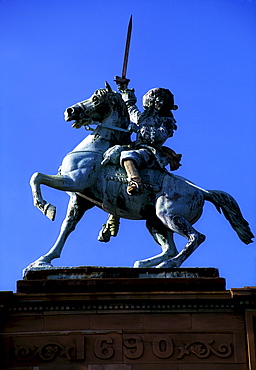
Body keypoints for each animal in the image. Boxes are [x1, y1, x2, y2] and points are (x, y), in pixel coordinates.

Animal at [26, 84, 254, 274]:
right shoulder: (79, 198)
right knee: (170, 248)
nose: (70, 111)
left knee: (196, 238)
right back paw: (144, 264)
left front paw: (45, 207)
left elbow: (36, 177)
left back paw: (167, 266)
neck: (97, 147)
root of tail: (202, 191)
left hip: (169, 215)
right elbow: (66, 227)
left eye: (96, 98)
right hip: (155, 222)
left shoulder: (74, 181)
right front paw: (43, 260)